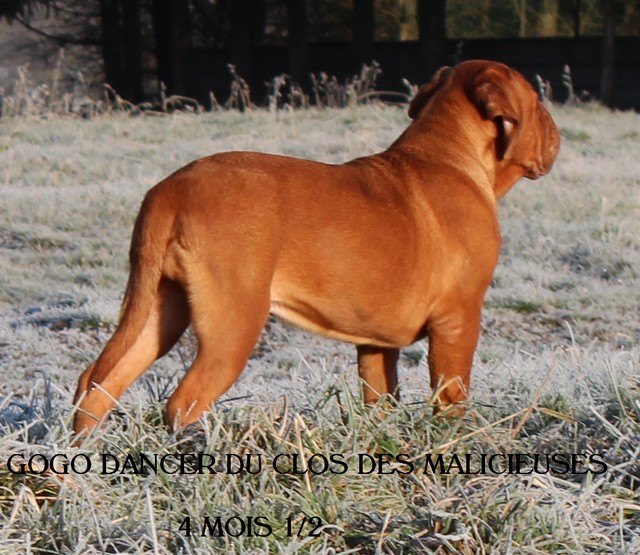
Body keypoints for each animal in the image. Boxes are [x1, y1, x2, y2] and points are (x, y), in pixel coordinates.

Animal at [72, 59, 556, 434]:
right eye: (537, 102)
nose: (557, 131)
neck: (449, 158)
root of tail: (171, 190)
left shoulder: (376, 342)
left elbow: (381, 398)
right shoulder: (459, 319)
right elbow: (452, 396)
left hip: (160, 310)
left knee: (97, 384)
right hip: (232, 323)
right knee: (182, 402)